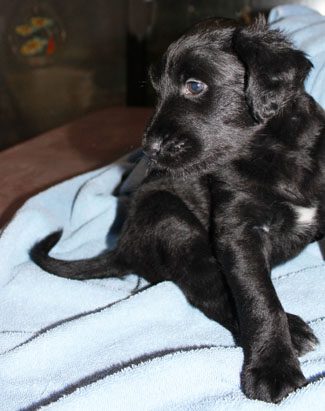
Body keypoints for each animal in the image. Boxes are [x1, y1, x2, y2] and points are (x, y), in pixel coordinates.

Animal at [31, 17, 324, 404]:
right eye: (156, 90)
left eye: (194, 86)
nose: (148, 148)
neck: (274, 152)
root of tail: (123, 247)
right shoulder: (238, 233)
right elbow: (259, 300)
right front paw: (273, 369)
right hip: (172, 221)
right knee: (209, 292)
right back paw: (295, 331)